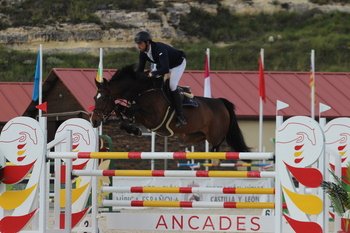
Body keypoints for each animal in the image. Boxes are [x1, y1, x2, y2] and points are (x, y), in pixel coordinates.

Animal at [89, 64, 250, 164]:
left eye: (104, 98)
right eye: (94, 98)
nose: (94, 121)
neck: (142, 90)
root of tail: (220, 102)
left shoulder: (154, 118)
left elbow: (133, 107)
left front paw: (133, 128)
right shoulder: (143, 118)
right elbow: (120, 107)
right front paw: (130, 128)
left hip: (215, 134)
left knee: (219, 142)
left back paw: (216, 158)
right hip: (190, 135)